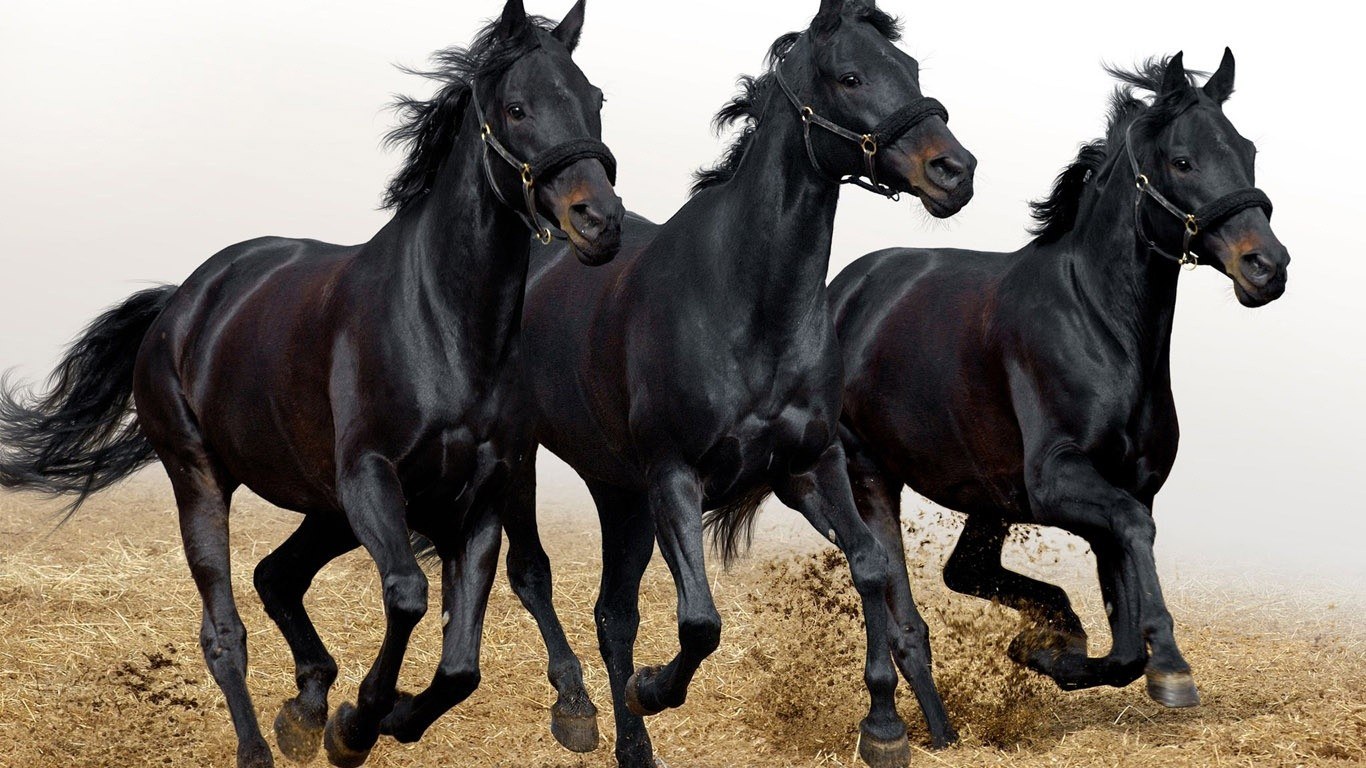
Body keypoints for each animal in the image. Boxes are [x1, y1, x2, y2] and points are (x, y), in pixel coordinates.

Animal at [0, 2, 623, 767]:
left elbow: (460, 665)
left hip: (325, 507)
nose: (600, 222)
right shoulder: (371, 479)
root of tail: (184, 302)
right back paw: (264, 742)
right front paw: (357, 723)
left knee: (276, 574)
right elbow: (409, 594)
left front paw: (385, 716)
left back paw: (304, 707)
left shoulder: (478, 495)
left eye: (595, 100)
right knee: (225, 631)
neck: (441, 325)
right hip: (202, 478)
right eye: (516, 107)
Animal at [495, 1, 975, 766]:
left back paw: (632, 745)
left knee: (613, 613)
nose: (954, 171)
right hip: (523, 457)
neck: (747, 305)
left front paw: (884, 727)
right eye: (850, 75)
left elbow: (871, 565)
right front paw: (653, 689)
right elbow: (699, 621)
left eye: (912, 69)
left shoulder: (812, 464)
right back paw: (577, 710)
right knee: (533, 575)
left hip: (619, 489)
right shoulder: (674, 479)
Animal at [827, 49, 1287, 734]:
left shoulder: (1123, 490)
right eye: (1183, 161)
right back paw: (933, 734)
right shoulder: (1059, 481)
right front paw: (1171, 666)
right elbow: (1135, 553)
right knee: (905, 618)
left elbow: (1123, 641)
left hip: (987, 495)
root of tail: (839, 294)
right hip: (870, 473)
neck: (1100, 325)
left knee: (965, 570)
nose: (1268, 266)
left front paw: (1050, 653)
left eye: (1248, 150)